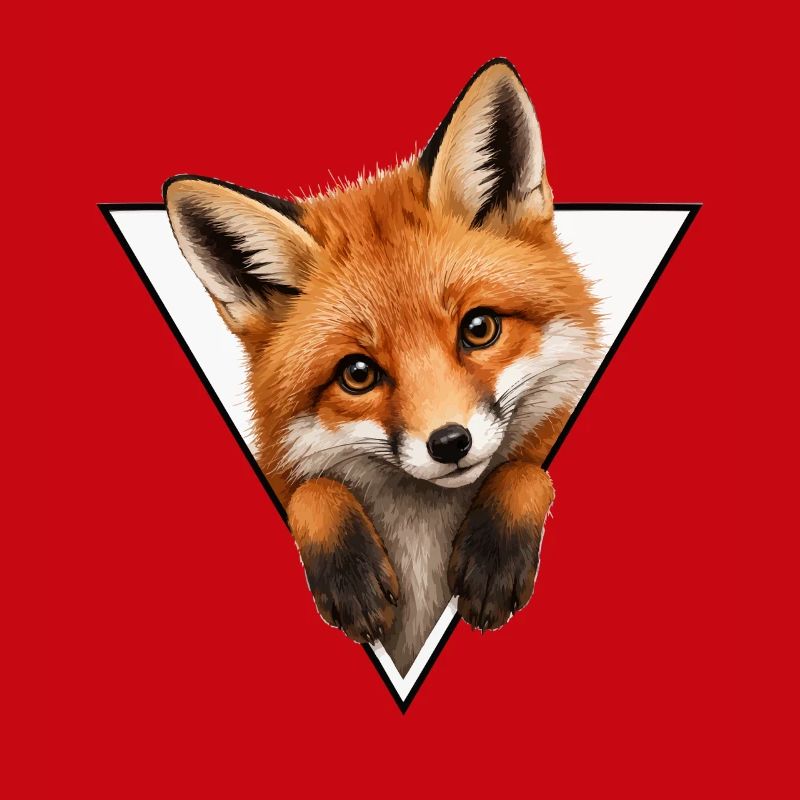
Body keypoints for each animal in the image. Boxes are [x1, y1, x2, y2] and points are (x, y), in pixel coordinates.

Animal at [164, 58, 601, 675]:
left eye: (479, 328)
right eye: (358, 373)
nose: (450, 443)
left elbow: (527, 470)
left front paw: (494, 549)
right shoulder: (283, 472)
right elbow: (311, 490)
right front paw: (348, 571)